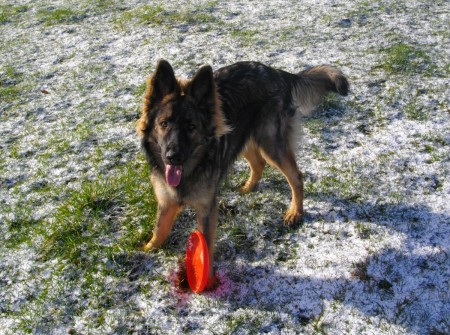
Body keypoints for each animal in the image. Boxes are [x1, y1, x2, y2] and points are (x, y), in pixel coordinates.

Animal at [137, 60, 348, 288]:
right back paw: (248, 187)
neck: (190, 170)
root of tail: (277, 72)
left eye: (191, 127)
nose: (173, 157)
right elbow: (159, 230)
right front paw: (146, 250)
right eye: (164, 124)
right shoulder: (166, 202)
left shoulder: (206, 209)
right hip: (242, 136)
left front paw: (207, 282)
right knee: (258, 163)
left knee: (295, 176)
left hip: (271, 144)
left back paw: (295, 212)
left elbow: (206, 246)